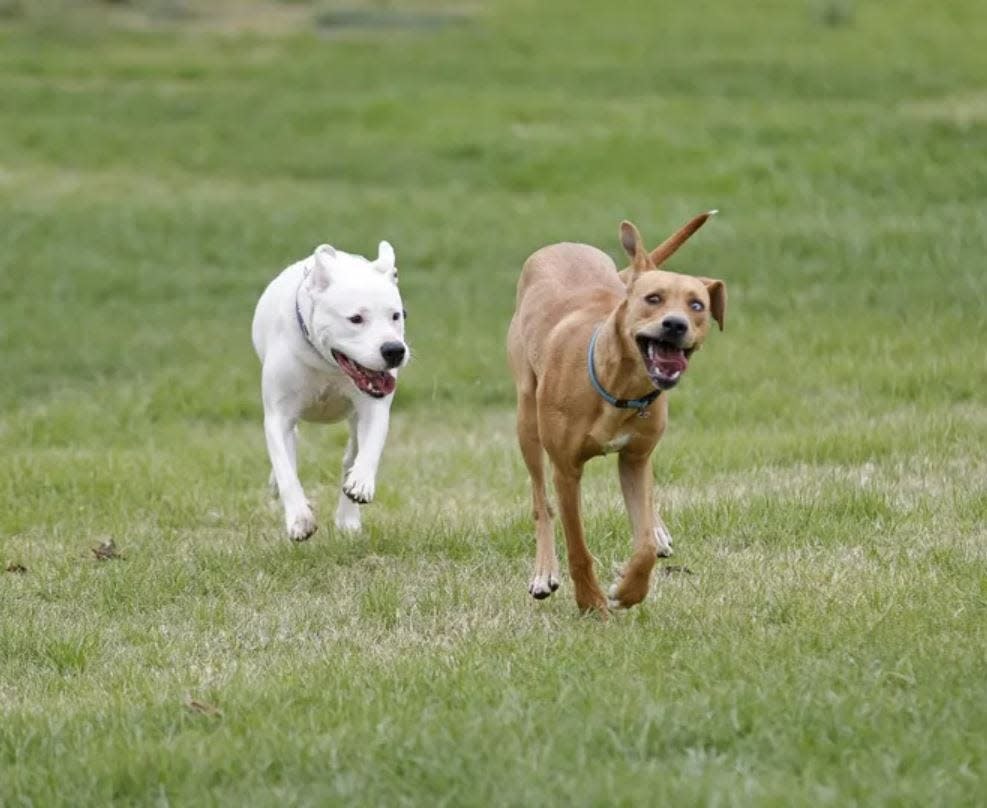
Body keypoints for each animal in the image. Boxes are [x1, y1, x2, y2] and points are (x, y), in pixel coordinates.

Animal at [255, 241, 412, 544]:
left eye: (397, 315)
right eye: (356, 319)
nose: (394, 350)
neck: (326, 363)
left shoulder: (373, 406)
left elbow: (371, 444)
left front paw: (361, 482)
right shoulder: (278, 415)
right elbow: (286, 468)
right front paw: (299, 519)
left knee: (351, 455)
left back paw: (348, 517)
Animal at [510, 211, 724, 608]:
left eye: (697, 305)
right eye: (653, 299)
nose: (676, 325)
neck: (620, 388)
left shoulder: (634, 460)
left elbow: (643, 546)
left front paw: (628, 590)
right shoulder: (566, 471)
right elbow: (577, 545)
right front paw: (591, 603)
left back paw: (656, 529)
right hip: (526, 418)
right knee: (540, 499)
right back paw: (544, 571)